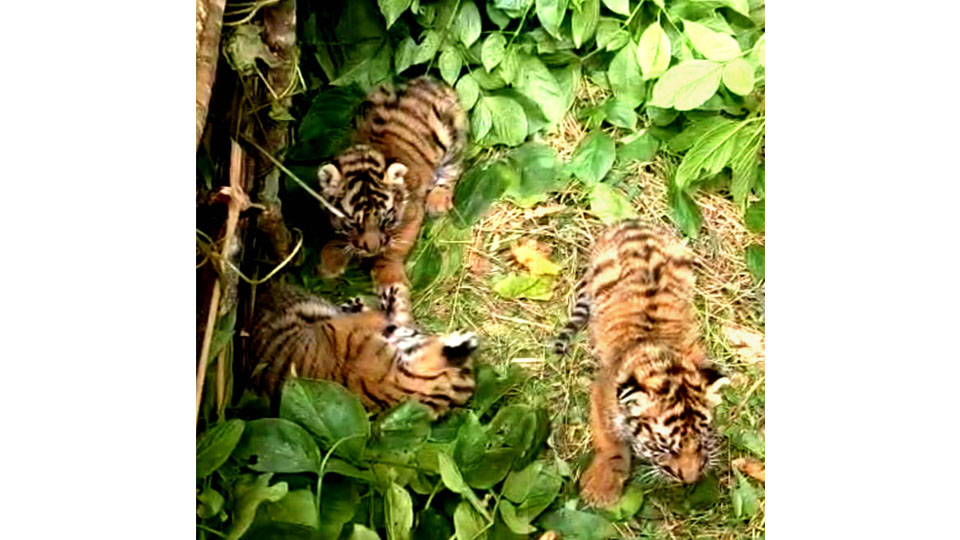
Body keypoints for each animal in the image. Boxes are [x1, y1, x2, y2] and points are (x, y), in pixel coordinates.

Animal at [315, 76, 468, 326]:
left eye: (385, 220)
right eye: (354, 224)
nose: (371, 249)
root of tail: (428, 80)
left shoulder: (411, 214)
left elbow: (394, 250)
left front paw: (387, 270)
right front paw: (330, 262)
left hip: (451, 137)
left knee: (453, 168)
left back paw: (437, 200)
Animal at [554, 219, 730, 507]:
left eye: (700, 441)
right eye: (665, 448)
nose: (690, 479)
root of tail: (630, 221)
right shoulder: (601, 395)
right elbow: (610, 442)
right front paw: (601, 489)